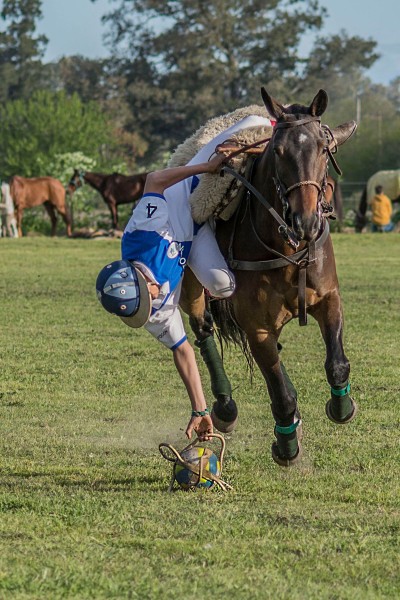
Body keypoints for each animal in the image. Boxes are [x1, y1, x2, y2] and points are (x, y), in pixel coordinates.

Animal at [180, 86, 356, 466]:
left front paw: (341, 407)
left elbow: (336, 364)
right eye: (278, 151)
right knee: (203, 331)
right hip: (193, 287)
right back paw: (225, 409)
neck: (287, 247)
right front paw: (286, 445)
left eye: (323, 148)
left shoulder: (330, 299)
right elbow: (281, 392)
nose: (306, 222)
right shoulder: (256, 326)